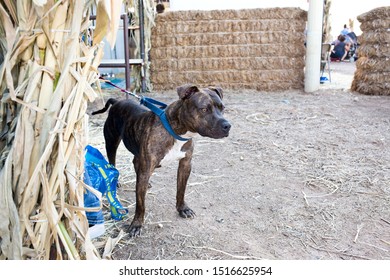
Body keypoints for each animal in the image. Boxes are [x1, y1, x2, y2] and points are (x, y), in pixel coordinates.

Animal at [92, 83, 230, 236]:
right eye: (204, 109)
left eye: (222, 108)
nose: (227, 126)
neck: (176, 131)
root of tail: (117, 102)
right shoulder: (146, 167)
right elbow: (140, 204)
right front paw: (137, 224)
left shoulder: (185, 164)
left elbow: (181, 190)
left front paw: (183, 208)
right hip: (111, 142)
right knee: (112, 161)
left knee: (135, 162)